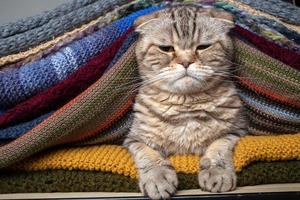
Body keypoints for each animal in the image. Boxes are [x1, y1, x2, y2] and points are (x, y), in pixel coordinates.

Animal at [123, 4, 247, 198]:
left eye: (203, 47)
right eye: (166, 48)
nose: (186, 62)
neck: (186, 106)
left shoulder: (236, 130)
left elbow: (218, 148)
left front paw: (217, 172)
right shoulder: (135, 139)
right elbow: (148, 155)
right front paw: (157, 177)